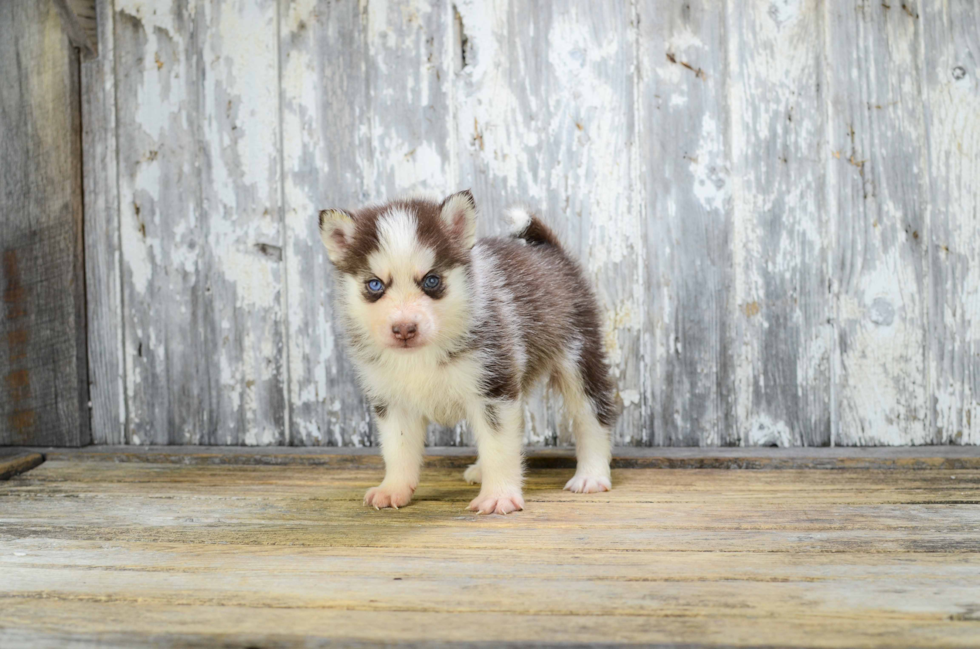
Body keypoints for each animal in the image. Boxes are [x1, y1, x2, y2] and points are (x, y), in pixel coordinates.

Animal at [318, 190, 616, 512]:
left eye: (432, 280)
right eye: (375, 285)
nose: (405, 329)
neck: (420, 357)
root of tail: (549, 250)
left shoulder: (493, 389)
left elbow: (499, 447)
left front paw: (498, 496)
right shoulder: (392, 401)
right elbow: (398, 448)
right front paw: (393, 489)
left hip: (579, 356)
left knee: (591, 417)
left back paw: (591, 475)